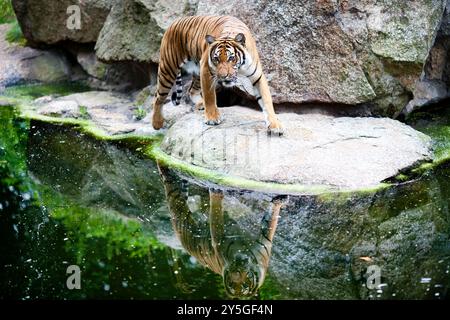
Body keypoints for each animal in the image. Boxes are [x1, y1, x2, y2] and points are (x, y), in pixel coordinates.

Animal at [153, 15, 284, 135]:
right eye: (216, 59)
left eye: (231, 58)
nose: (223, 76)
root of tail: (174, 22)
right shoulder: (206, 70)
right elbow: (210, 96)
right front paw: (212, 118)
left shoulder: (258, 78)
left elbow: (267, 101)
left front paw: (275, 125)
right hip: (168, 69)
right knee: (158, 98)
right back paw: (157, 123)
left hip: (196, 71)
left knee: (191, 90)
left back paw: (200, 104)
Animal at [157, 164, 282, 298]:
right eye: (231, 283)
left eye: (245, 286)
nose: (238, 265)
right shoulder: (218, 240)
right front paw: (216, 190)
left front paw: (279, 199)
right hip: (177, 199)